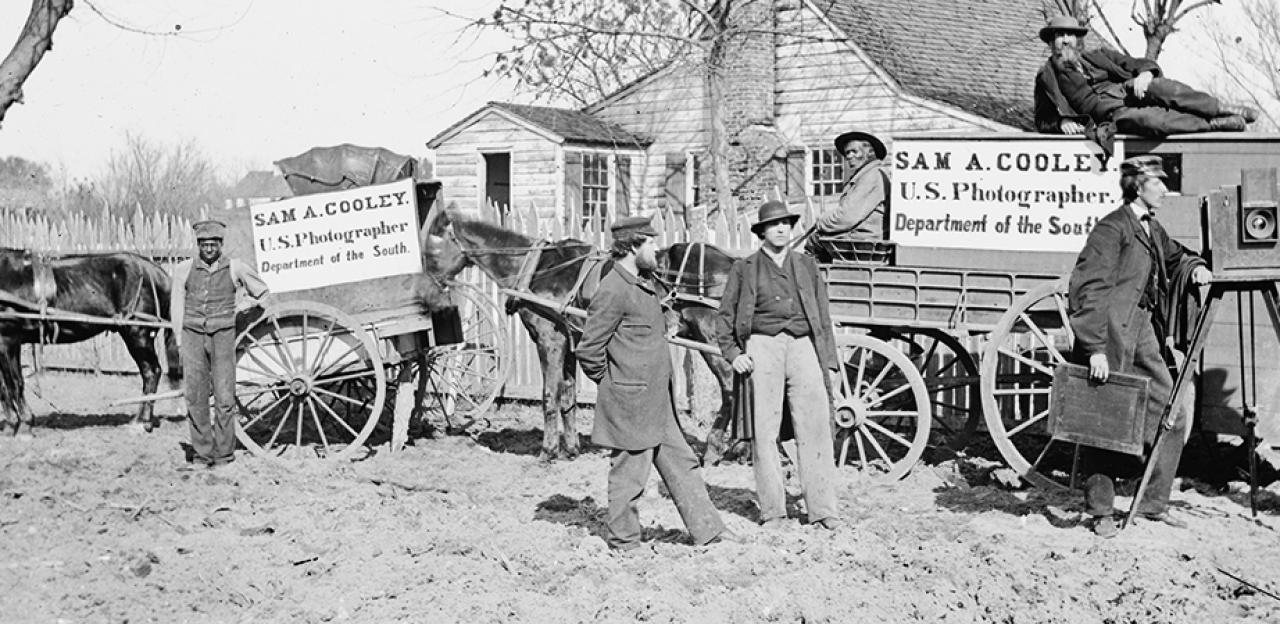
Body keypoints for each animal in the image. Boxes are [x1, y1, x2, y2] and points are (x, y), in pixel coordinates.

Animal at [0, 248, 180, 434]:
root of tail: (158, 272)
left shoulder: (8, 339)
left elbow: (15, 383)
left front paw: (25, 424)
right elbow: (4, 388)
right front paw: (10, 425)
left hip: (138, 334)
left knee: (152, 372)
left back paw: (143, 421)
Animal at [419, 207, 742, 460]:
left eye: (432, 249)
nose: (427, 287)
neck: (536, 268)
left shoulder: (549, 340)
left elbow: (549, 394)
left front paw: (548, 451)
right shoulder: (571, 343)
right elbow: (568, 395)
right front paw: (571, 448)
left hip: (710, 338)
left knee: (730, 386)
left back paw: (716, 448)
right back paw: (739, 447)